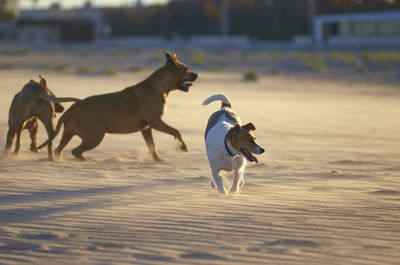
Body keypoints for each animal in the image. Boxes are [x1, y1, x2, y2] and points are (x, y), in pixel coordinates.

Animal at [45, 50, 198, 160]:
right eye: (186, 69)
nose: (197, 74)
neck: (158, 87)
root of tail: (73, 108)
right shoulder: (156, 121)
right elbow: (176, 131)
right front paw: (183, 146)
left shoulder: (147, 128)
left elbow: (152, 146)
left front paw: (158, 160)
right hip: (96, 135)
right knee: (75, 151)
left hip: (70, 133)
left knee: (59, 149)